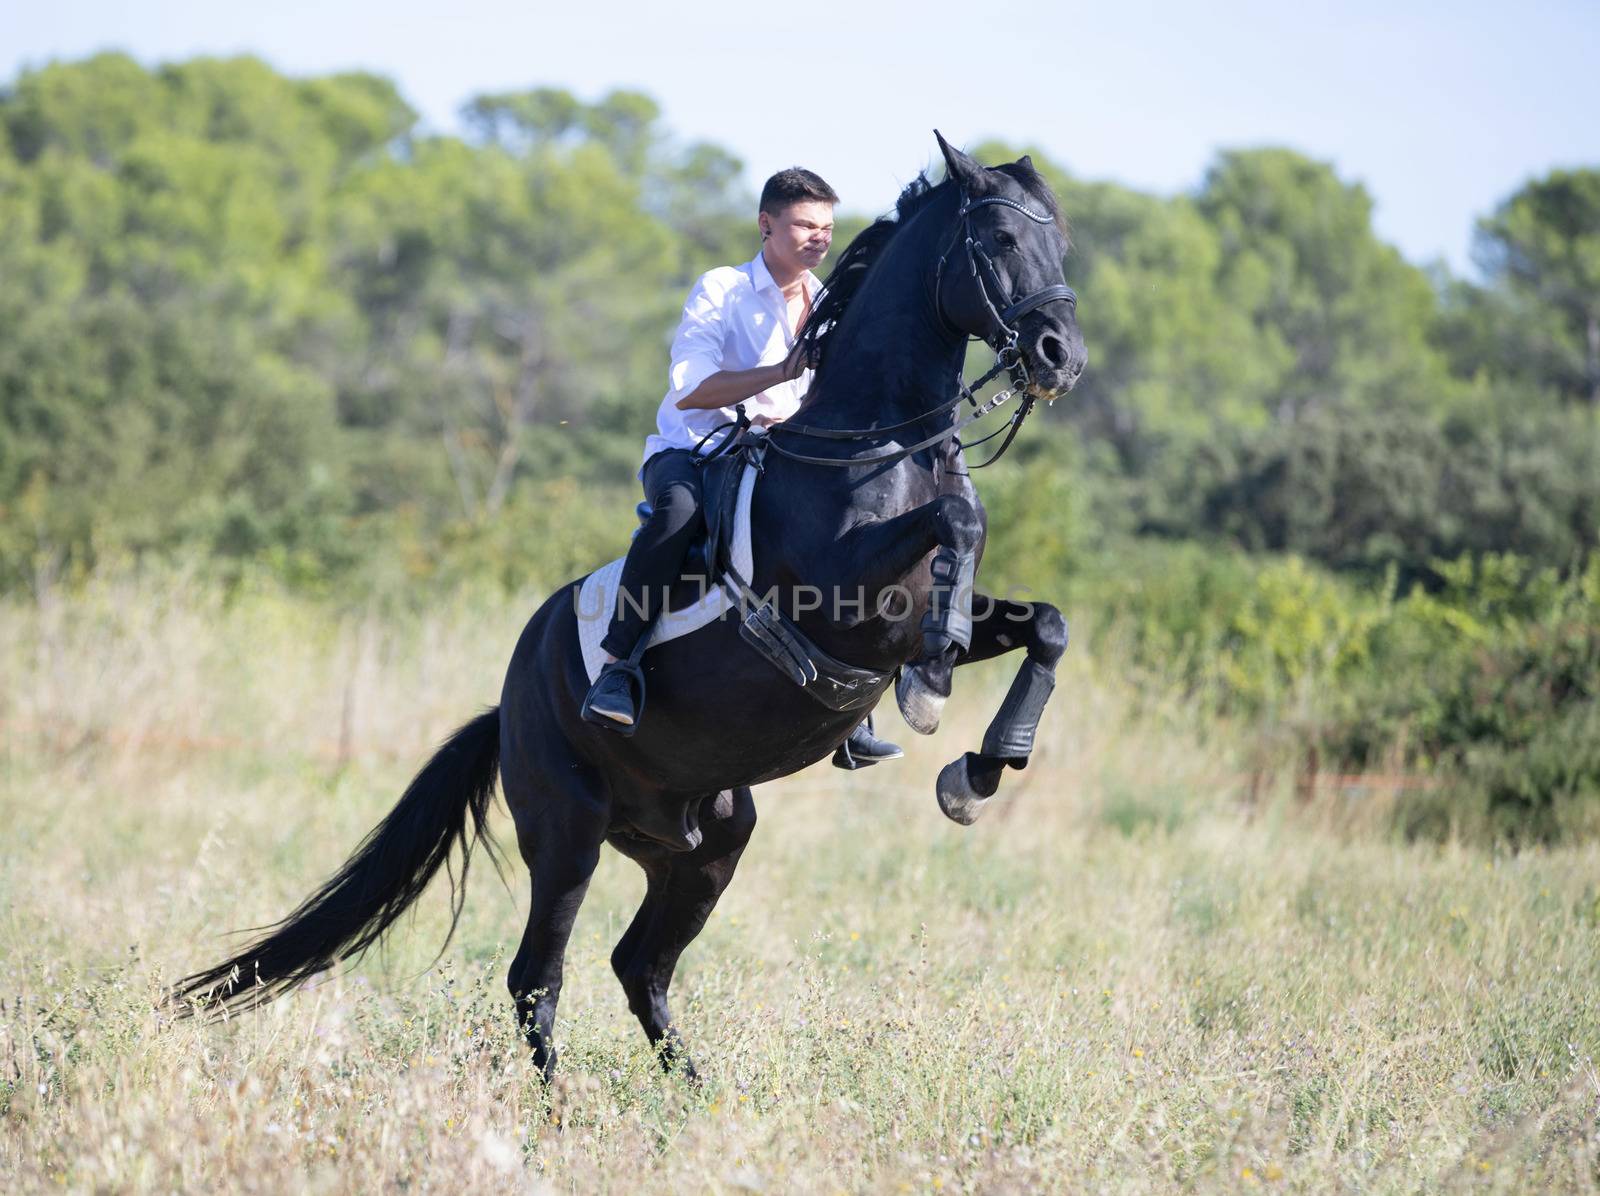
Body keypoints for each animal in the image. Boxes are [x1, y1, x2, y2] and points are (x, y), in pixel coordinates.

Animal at [178, 135, 1088, 1080]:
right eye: (1000, 242)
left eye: (1058, 243)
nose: (1061, 355)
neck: (877, 446)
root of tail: (505, 709)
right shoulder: (839, 597)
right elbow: (957, 523)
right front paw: (936, 692)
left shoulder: (893, 629)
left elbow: (1044, 622)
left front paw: (979, 768)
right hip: (567, 830)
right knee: (538, 976)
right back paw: (567, 1104)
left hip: (709, 841)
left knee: (638, 964)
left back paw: (699, 1094)